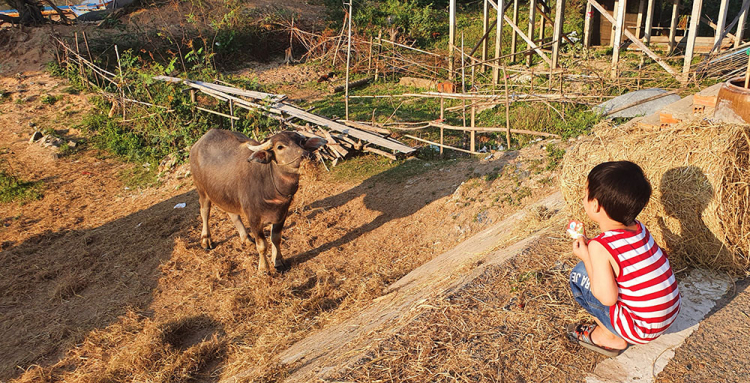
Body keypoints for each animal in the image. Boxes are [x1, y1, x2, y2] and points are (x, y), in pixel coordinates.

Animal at [191, 130, 326, 274]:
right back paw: (206, 240)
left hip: (226, 193)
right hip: (202, 191)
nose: (307, 155)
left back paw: (246, 238)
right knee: (204, 212)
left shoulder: (282, 214)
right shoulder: (254, 219)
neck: (269, 184)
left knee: (232, 214)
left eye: (301, 142)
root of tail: (197, 145)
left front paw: (278, 261)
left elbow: (276, 239)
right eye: (280, 147)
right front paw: (263, 268)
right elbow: (262, 245)